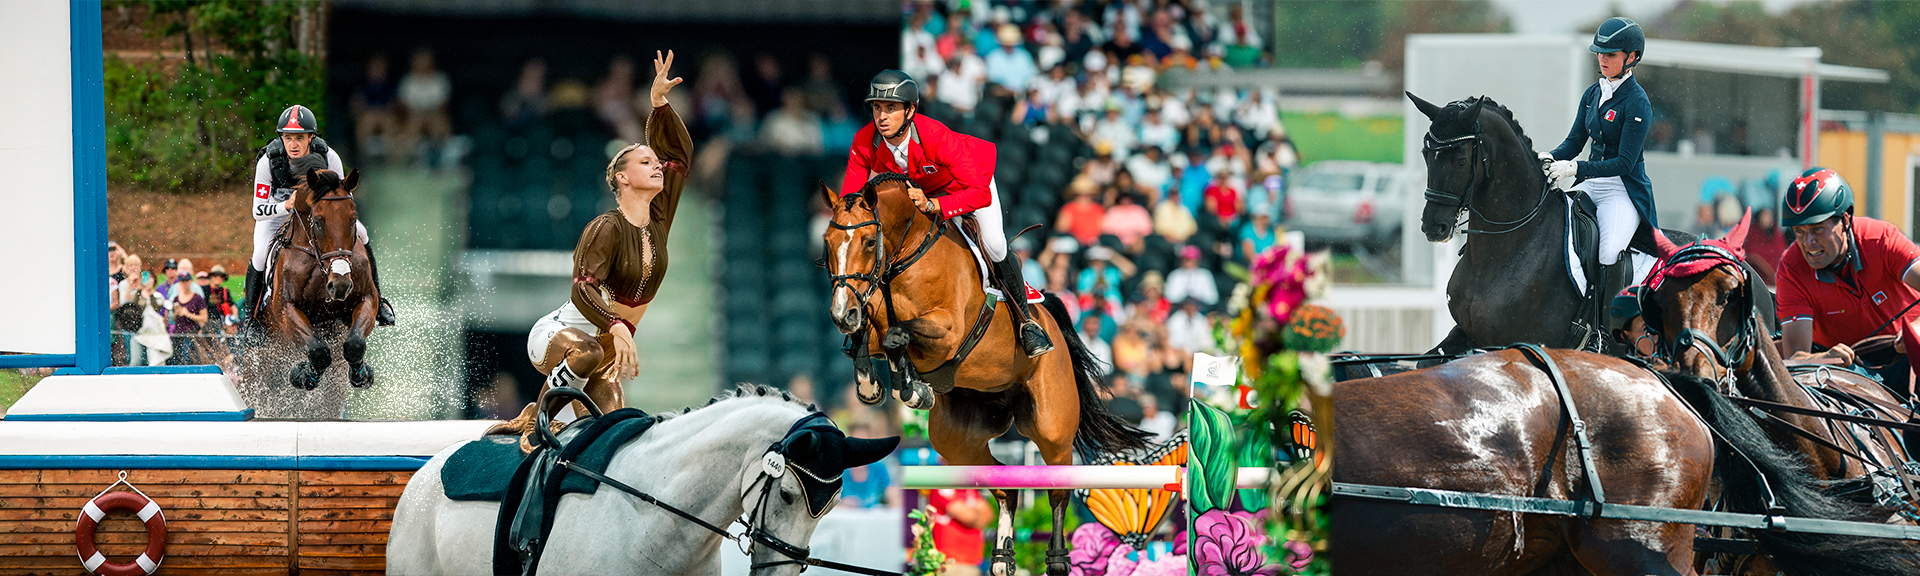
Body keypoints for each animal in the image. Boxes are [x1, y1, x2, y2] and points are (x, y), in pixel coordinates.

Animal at [817, 171, 1144, 576]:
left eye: (867, 241)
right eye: (827, 243)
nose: (840, 313)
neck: (904, 258)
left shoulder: (948, 332)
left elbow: (897, 334)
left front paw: (911, 388)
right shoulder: (872, 313)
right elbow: (872, 334)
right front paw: (872, 384)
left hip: (1051, 428)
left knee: (1057, 489)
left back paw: (1056, 560)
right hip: (958, 441)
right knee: (1005, 486)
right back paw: (1003, 558)